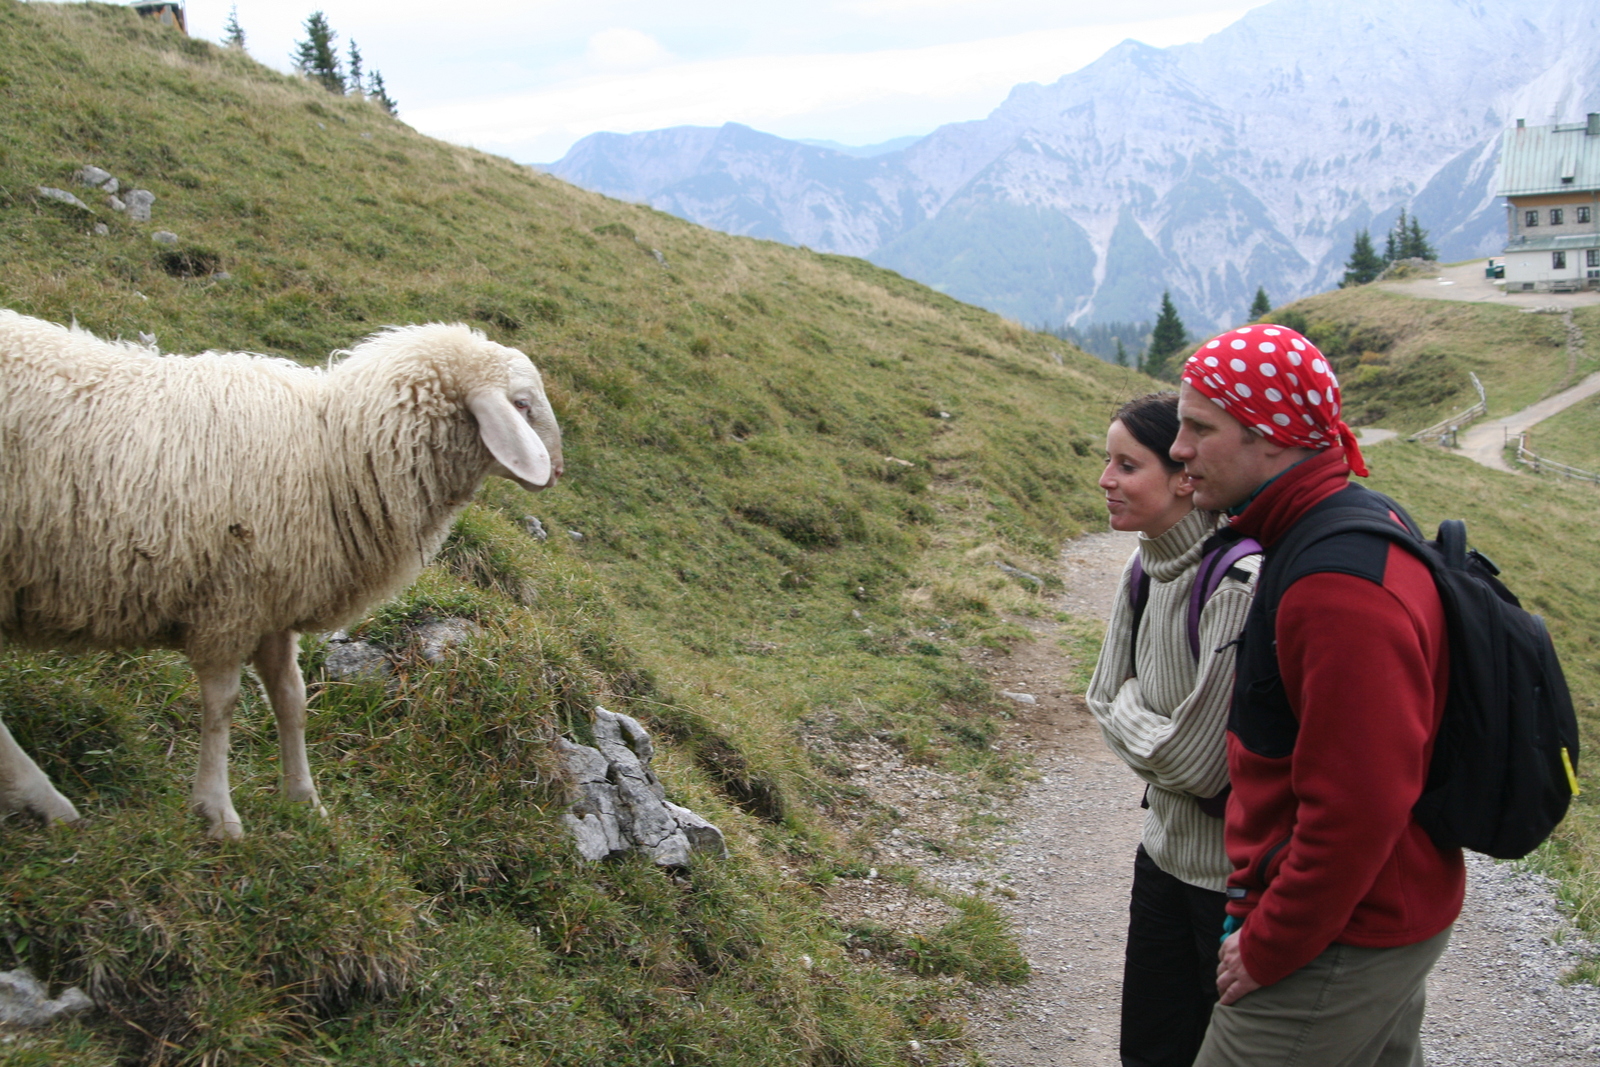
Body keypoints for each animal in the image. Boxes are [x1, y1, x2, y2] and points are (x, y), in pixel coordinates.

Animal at [0, 312, 563, 839]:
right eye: (521, 405)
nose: (556, 471)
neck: (333, 449)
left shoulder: (272, 603)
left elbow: (291, 698)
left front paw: (306, 801)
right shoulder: (229, 604)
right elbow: (223, 706)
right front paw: (218, 812)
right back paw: (46, 799)